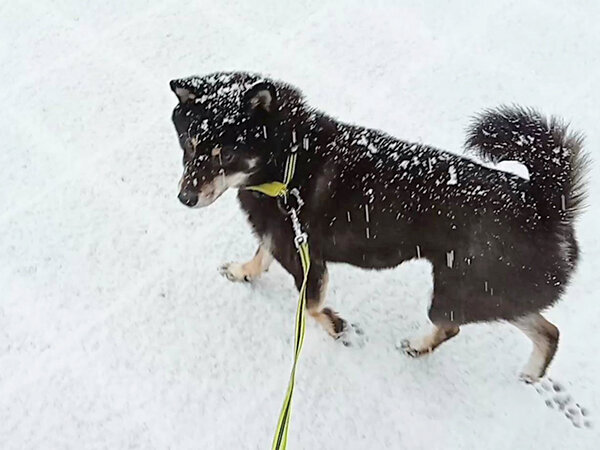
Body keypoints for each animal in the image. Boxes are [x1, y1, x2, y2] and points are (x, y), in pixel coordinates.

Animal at [171, 72, 588, 382]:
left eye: (226, 153)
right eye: (189, 144)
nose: (185, 198)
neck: (288, 158)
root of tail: (543, 206)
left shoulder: (307, 260)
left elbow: (311, 306)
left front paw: (339, 328)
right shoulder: (279, 238)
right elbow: (260, 258)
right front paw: (242, 272)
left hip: (462, 290)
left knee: (451, 326)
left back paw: (419, 346)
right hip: (492, 293)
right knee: (548, 331)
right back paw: (532, 373)